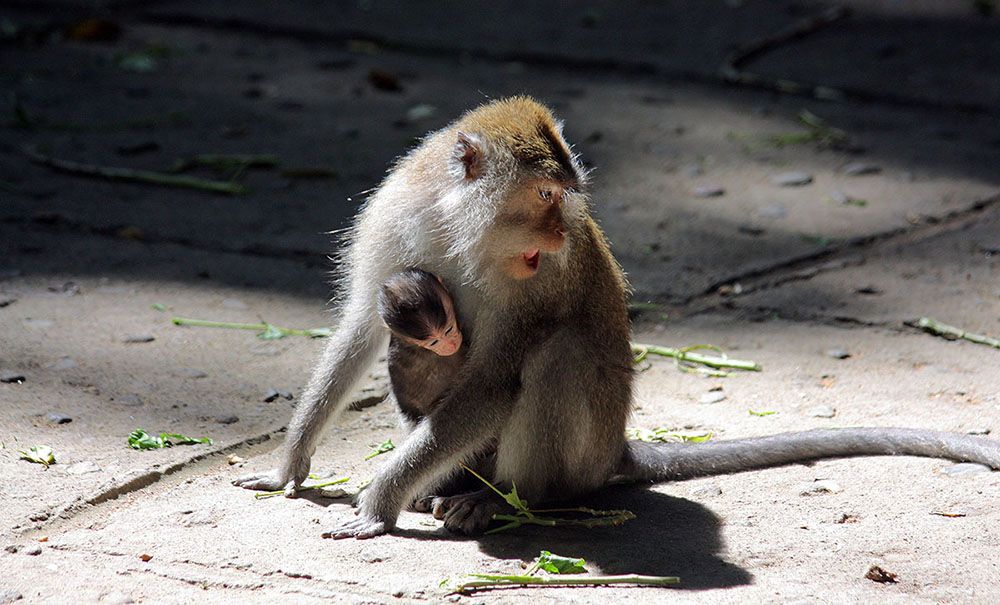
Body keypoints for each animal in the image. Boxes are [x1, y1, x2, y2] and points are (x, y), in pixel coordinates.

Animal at [236, 95, 1000, 536]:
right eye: (544, 194)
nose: (557, 235)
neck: (460, 230)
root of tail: (613, 455)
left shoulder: (537, 284)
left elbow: (499, 378)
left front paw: (377, 503)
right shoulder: (396, 219)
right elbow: (362, 329)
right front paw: (288, 468)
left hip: (581, 453)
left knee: (558, 356)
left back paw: (509, 500)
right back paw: (453, 487)